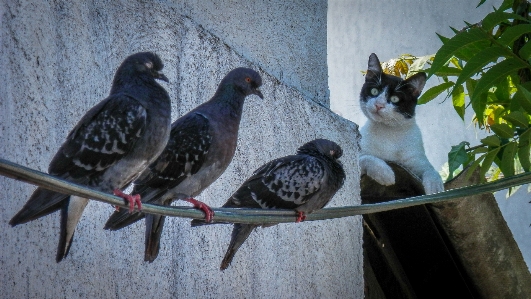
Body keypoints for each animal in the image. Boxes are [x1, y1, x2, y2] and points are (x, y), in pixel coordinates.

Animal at [358, 53, 444, 196]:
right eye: (374, 91)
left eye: (395, 99)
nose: (379, 105)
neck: (388, 132)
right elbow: (366, 157)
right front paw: (385, 173)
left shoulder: (416, 158)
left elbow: (430, 169)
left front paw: (435, 187)